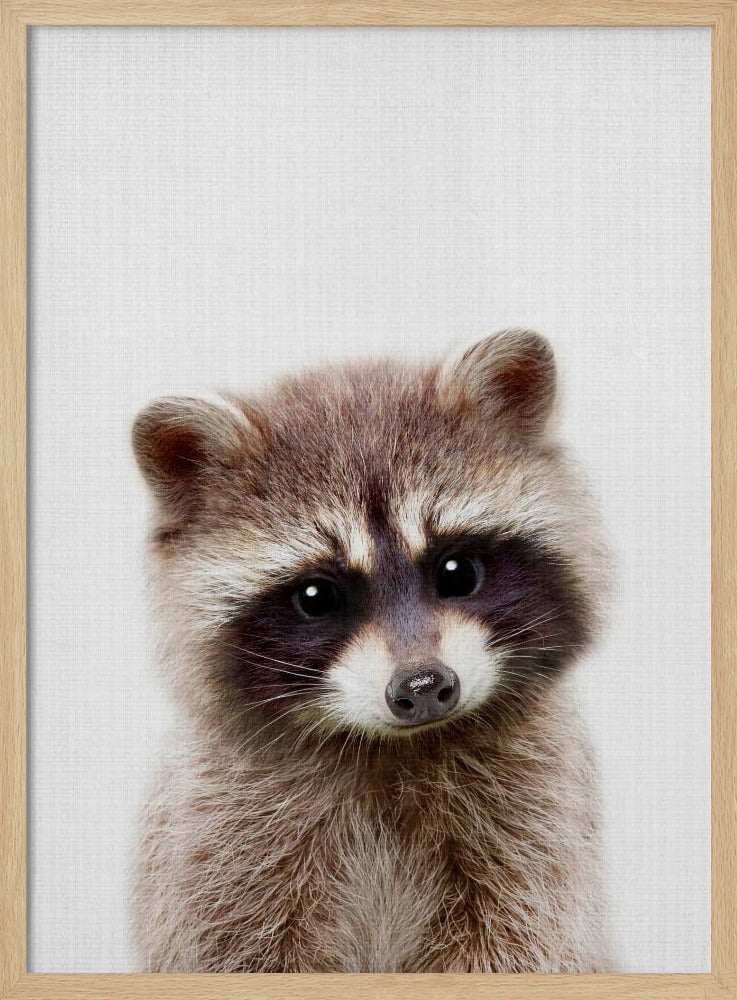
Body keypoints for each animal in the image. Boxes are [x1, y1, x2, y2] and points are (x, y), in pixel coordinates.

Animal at [130, 329, 610, 973]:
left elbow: (524, 940)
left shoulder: (536, 822)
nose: (423, 687)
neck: (390, 749)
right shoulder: (217, 840)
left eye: (457, 571)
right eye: (316, 596)